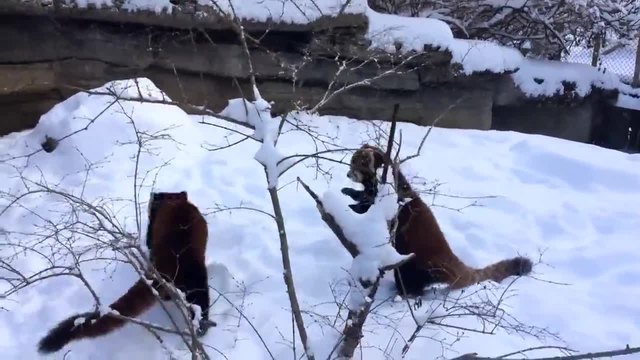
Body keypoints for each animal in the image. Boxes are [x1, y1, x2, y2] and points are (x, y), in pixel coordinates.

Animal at [342, 145, 532, 296]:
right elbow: (362, 197)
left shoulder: (390, 202)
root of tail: (449, 256)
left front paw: (354, 206)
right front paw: (349, 192)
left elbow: (367, 207)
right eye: (352, 161)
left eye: (362, 164)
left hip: (418, 262)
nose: (349, 174)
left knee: (409, 280)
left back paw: (403, 294)